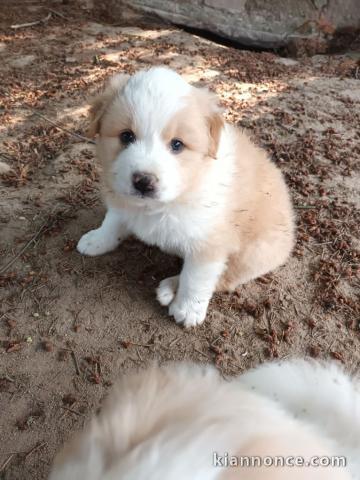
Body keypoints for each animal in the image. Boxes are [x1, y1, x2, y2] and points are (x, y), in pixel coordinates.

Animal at [77, 67, 294, 328]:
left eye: (177, 144)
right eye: (126, 136)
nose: (143, 182)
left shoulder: (208, 243)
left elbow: (196, 279)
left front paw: (188, 309)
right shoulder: (122, 200)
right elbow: (112, 222)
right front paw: (97, 240)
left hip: (251, 255)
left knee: (224, 279)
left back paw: (170, 288)